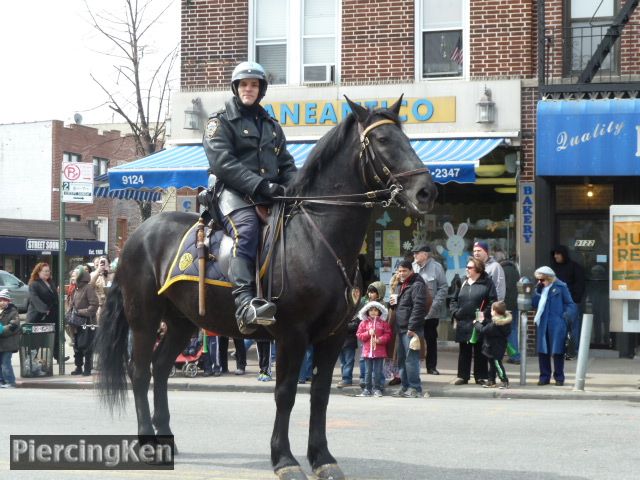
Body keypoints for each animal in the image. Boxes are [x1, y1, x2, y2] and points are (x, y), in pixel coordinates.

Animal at [95, 97, 438, 480]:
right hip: (144, 319)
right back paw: (148, 444)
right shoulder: (292, 334)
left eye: (405, 137)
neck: (316, 236)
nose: (426, 191)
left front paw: (322, 458)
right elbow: (285, 394)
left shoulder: (332, 336)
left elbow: (320, 395)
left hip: (183, 322)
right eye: (383, 140)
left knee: (160, 368)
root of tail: (138, 236)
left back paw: (166, 438)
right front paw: (284, 459)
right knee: (140, 372)